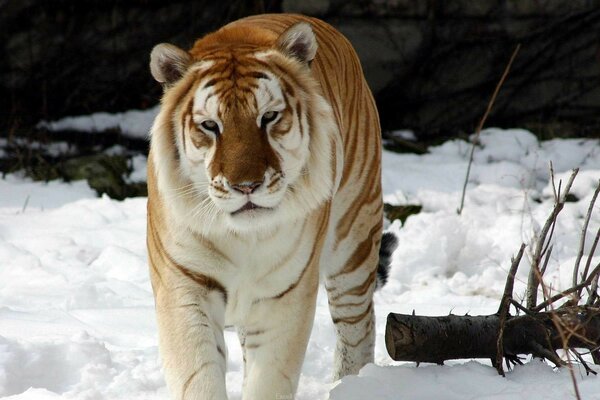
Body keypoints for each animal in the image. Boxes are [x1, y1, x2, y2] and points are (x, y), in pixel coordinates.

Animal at [146, 12, 398, 400]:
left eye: (268, 117)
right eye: (210, 125)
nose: (246, 186)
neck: (242, 237)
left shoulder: (285, 294)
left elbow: (269, 378)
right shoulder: (185, 285)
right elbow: (199, 375)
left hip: (354, 240)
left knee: (359, 325)